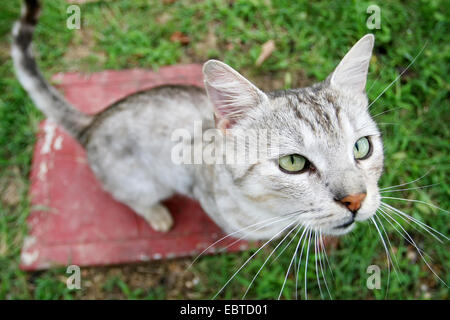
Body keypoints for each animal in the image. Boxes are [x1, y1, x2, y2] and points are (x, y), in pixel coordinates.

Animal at [12, 0, 382, 240]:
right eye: (293, 163)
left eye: (361, 148)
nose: (355, 199)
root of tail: (93, 121)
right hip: (137, 182)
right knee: (132, 198)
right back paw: (157, 214)